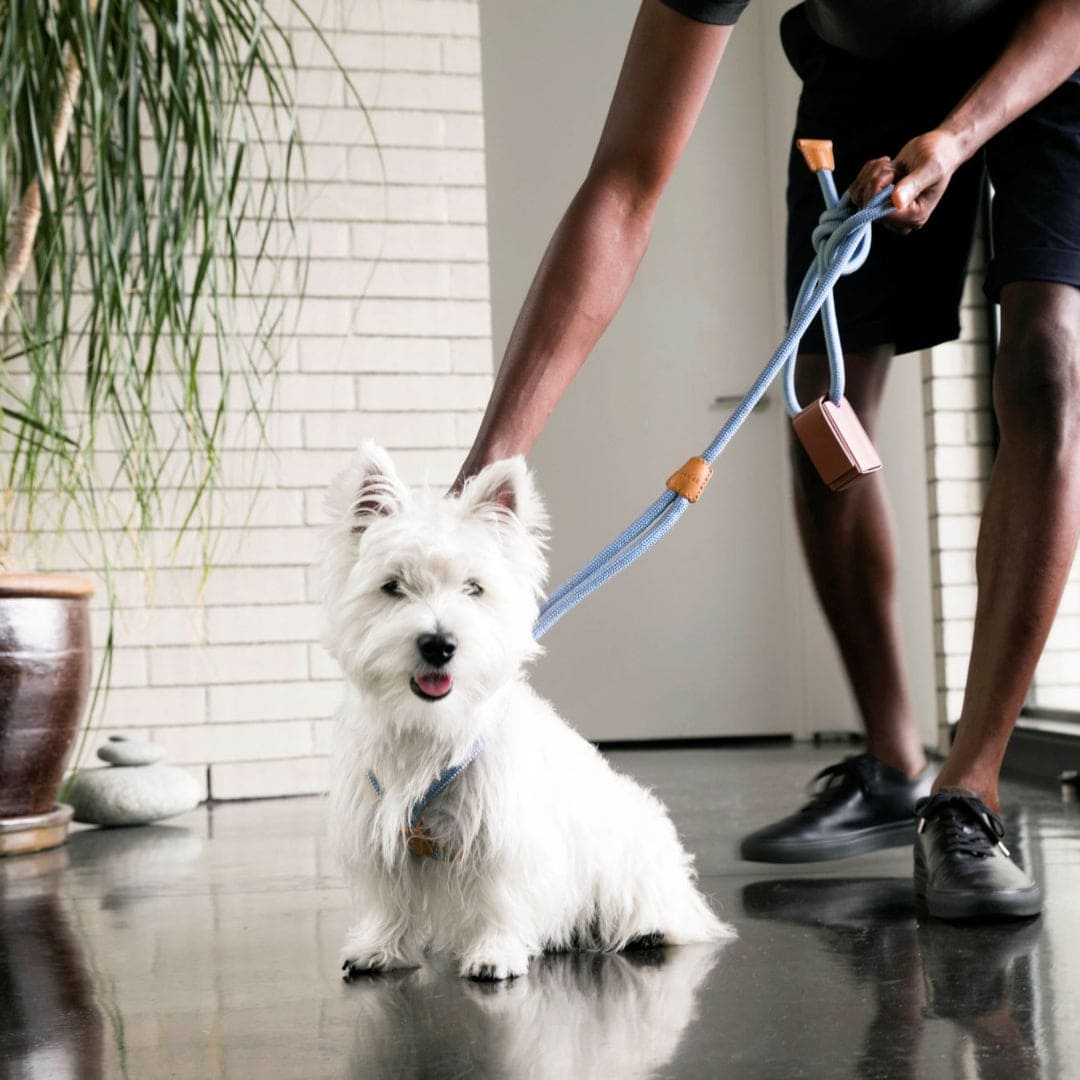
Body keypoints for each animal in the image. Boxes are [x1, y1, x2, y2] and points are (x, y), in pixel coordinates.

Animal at [315, 442, 730, 984]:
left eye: (474, 587)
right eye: (392, 586)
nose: (439, 644)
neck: (432, 728)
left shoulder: (507, 835)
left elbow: (500, 894)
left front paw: (495, 954)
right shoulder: (378, 823)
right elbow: (390, 896)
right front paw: (379, 948)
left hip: (634, 861)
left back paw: (649, 929)